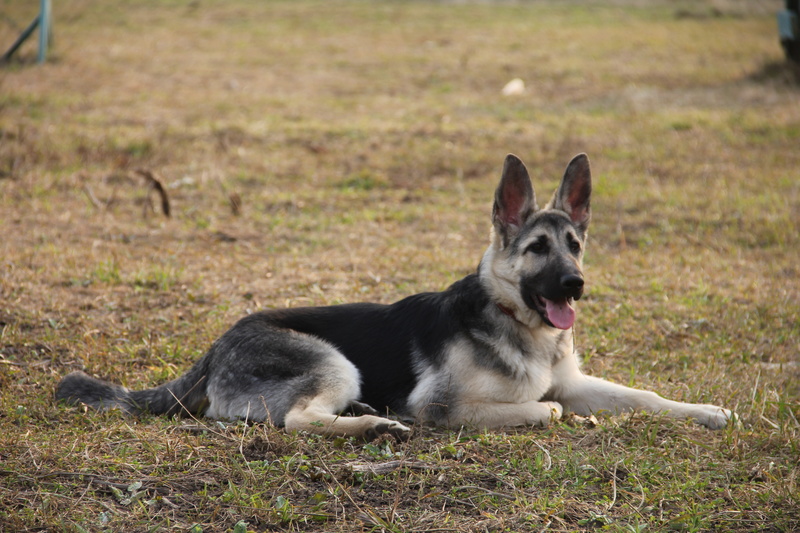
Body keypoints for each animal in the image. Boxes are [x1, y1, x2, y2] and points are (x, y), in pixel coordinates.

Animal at [56, 153, 736, 436]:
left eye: (574, 244)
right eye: (538, 248)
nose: (576, 284)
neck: (515, 321)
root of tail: (217, 344)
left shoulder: (573, 381)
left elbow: (644, 396)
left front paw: (706, 411)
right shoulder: (444, 406)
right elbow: (545, 409)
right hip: (332, 361)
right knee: (297, 420)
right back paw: (377, 427)